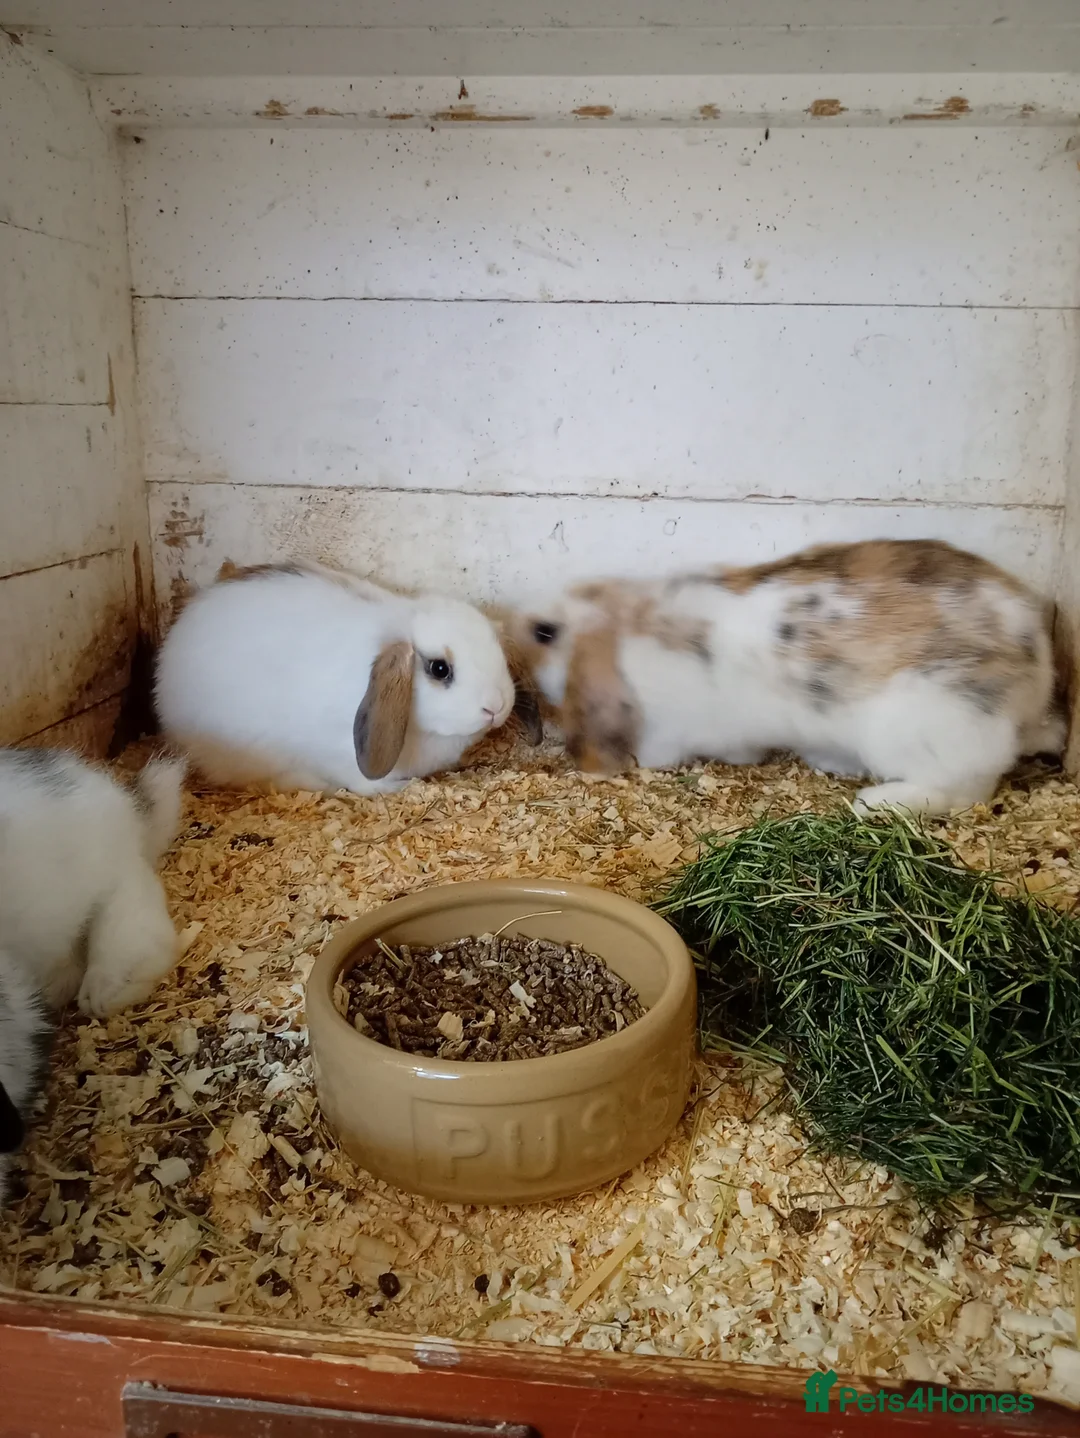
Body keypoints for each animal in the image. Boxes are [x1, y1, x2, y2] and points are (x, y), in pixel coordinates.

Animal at [155, 559, 541, 797]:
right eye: (439, 668)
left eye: (498, 651)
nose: (496, 707)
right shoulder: (338, 753)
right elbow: (362, 783)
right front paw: (393, 789)